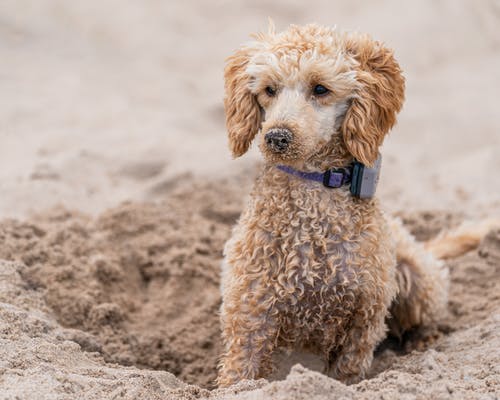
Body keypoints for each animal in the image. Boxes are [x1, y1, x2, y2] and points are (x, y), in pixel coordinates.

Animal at [217, 24, 458, 388]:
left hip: (417, 275)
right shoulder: (250, 315)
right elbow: (239, 374)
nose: (277, 137)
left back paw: (423, 341)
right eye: (269, 89)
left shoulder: (362, 321)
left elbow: (346, 373)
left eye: (320, 88)